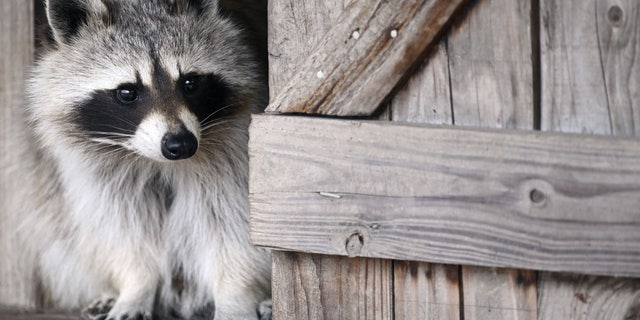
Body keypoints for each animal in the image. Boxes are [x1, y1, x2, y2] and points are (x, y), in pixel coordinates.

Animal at [19, 0, 270, 318]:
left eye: (190, 83)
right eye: (127, 92)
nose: (181, 144)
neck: (154, 161)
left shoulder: (234, 158)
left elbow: (233, 228)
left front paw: (236, 295)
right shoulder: (99, 175)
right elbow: (124, 229)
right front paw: (136, 285)